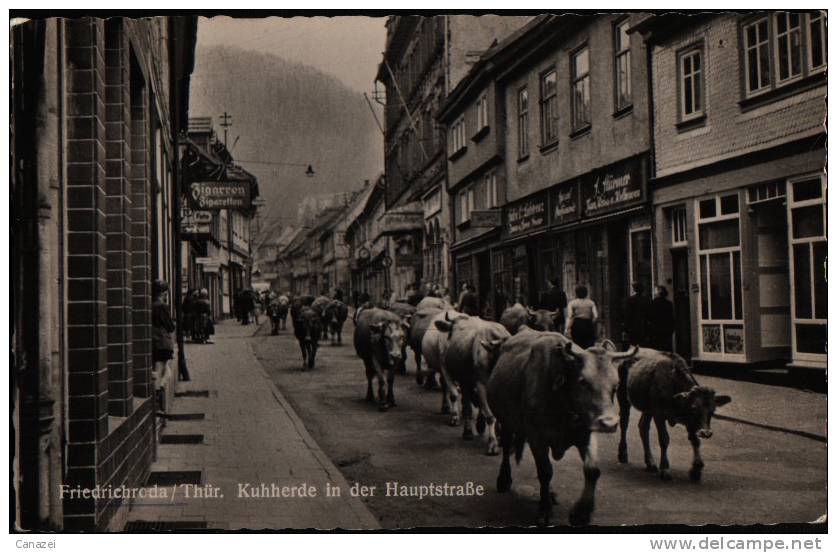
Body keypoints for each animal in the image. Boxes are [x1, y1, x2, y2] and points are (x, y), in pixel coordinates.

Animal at [432, 312, 510, 454]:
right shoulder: (481, 385)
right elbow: (490, 415)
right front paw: (493, 443)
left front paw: (500, 437)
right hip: (454, 374)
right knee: (465, 403)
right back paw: (467, 431)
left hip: (466, 380)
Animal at [612, 348, 732, 480]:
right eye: (694, 408)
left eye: (712, 410)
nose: (706, 433)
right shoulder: (659, 414)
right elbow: (664, 439)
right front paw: (665, 469)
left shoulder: (689, 420)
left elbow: (695, 440)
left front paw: (696, 469)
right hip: (622, 395)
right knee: (624, 423)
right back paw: (623, 454)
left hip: (648, 408)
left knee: (643, 427)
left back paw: (650, 462)